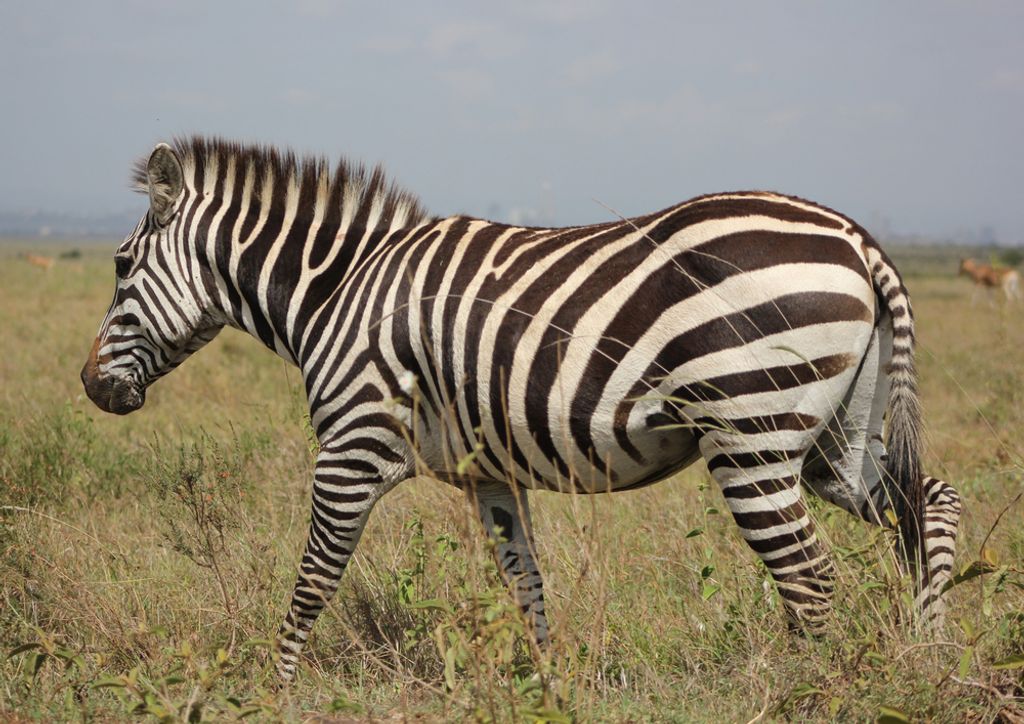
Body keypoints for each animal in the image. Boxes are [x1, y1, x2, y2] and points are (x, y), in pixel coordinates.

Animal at [81, 137, 961, 681]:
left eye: (120, 266)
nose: (90, 387)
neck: (339, 290)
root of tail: (856, 239)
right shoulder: (490, 475)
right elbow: (525, 582)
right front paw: (547, 683)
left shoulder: (353, 444)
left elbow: (313, 579)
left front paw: (275, 686)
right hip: (834, 436)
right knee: (930, 504)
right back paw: (929, 652)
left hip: (751, 435)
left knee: (810, 579)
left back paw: (803, 687)